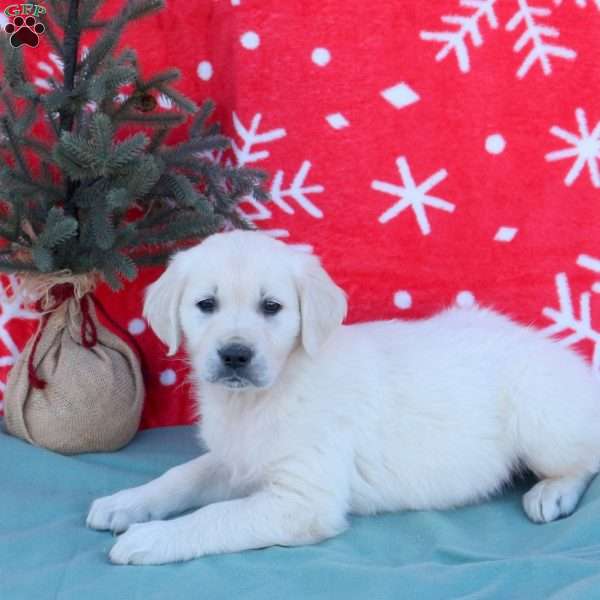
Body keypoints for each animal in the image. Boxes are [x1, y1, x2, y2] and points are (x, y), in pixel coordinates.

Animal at [86, 230, 600, 564]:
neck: (262, 397)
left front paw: (151, 538)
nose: (235, 355)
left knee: (586, 458)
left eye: (271, 307)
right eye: (206, 305)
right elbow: (181, 476)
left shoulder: (303, 499)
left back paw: (552, 493)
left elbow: (216, 516)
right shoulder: (237, 460)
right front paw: (126, 502)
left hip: (541, 416)